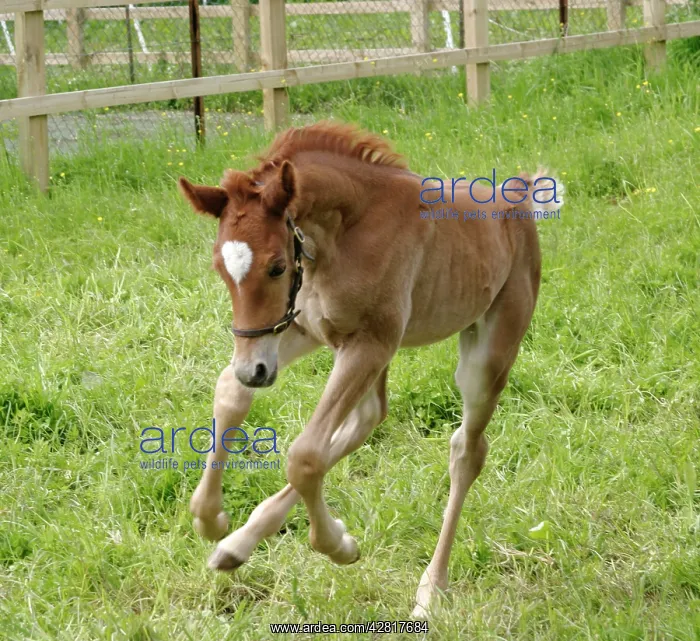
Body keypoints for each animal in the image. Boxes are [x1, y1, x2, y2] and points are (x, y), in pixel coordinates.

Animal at [179, 121, 557, 617]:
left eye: (277, 267)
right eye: (221, 269)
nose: (254, 371)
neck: (344, 232)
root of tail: (517, 195)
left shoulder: (366, 343)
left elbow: (304, 456)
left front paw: (338, 547)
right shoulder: (302, 327)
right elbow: (231, 393)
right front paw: (211, 519)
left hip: (485, 354)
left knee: (466, 451)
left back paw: (431, 590)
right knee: (367, 418)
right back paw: (237, 545)